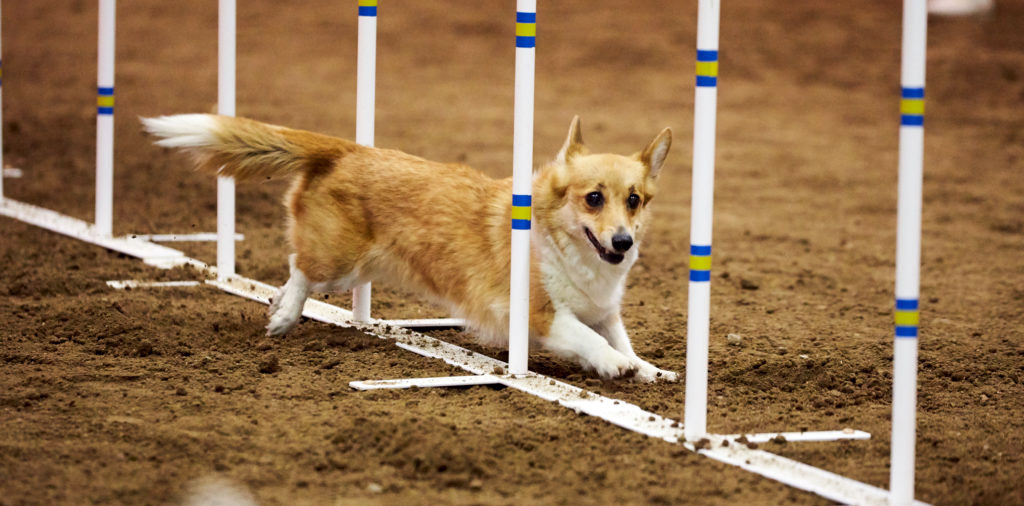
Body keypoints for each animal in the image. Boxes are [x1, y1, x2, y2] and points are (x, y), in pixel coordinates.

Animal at [140, 114, 675, 381]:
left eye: (633, 200)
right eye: (593, 198)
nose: (623, 242)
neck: (569, 249)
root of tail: (347, 149)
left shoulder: (603, 311)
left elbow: (619, 336)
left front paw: (648, 368)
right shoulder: (540, 316)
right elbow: (589, 340)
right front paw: (616, 366)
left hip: (358, 268)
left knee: (297, 265)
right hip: (341, 262)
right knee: (302, 267)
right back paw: (285, 315)